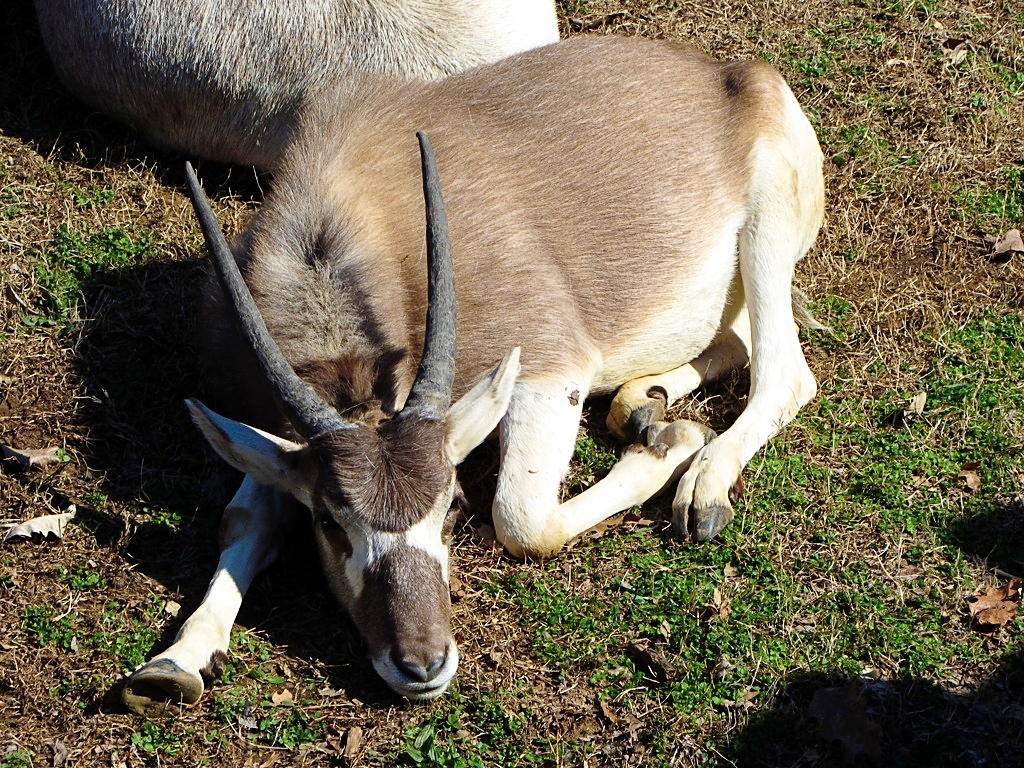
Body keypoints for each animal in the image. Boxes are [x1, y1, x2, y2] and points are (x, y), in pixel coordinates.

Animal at [120, 34, 824, 715]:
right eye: (328, 522)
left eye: (453, 505)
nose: (422, 665)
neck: (350, 224)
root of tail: (728, 76)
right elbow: (242, 518)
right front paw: (175, 662)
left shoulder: (547, 370)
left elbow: (522, 521)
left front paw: (670, 449)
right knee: (736, 341)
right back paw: (643, 403)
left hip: (764, 234)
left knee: (784, 373)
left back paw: (698, 475)